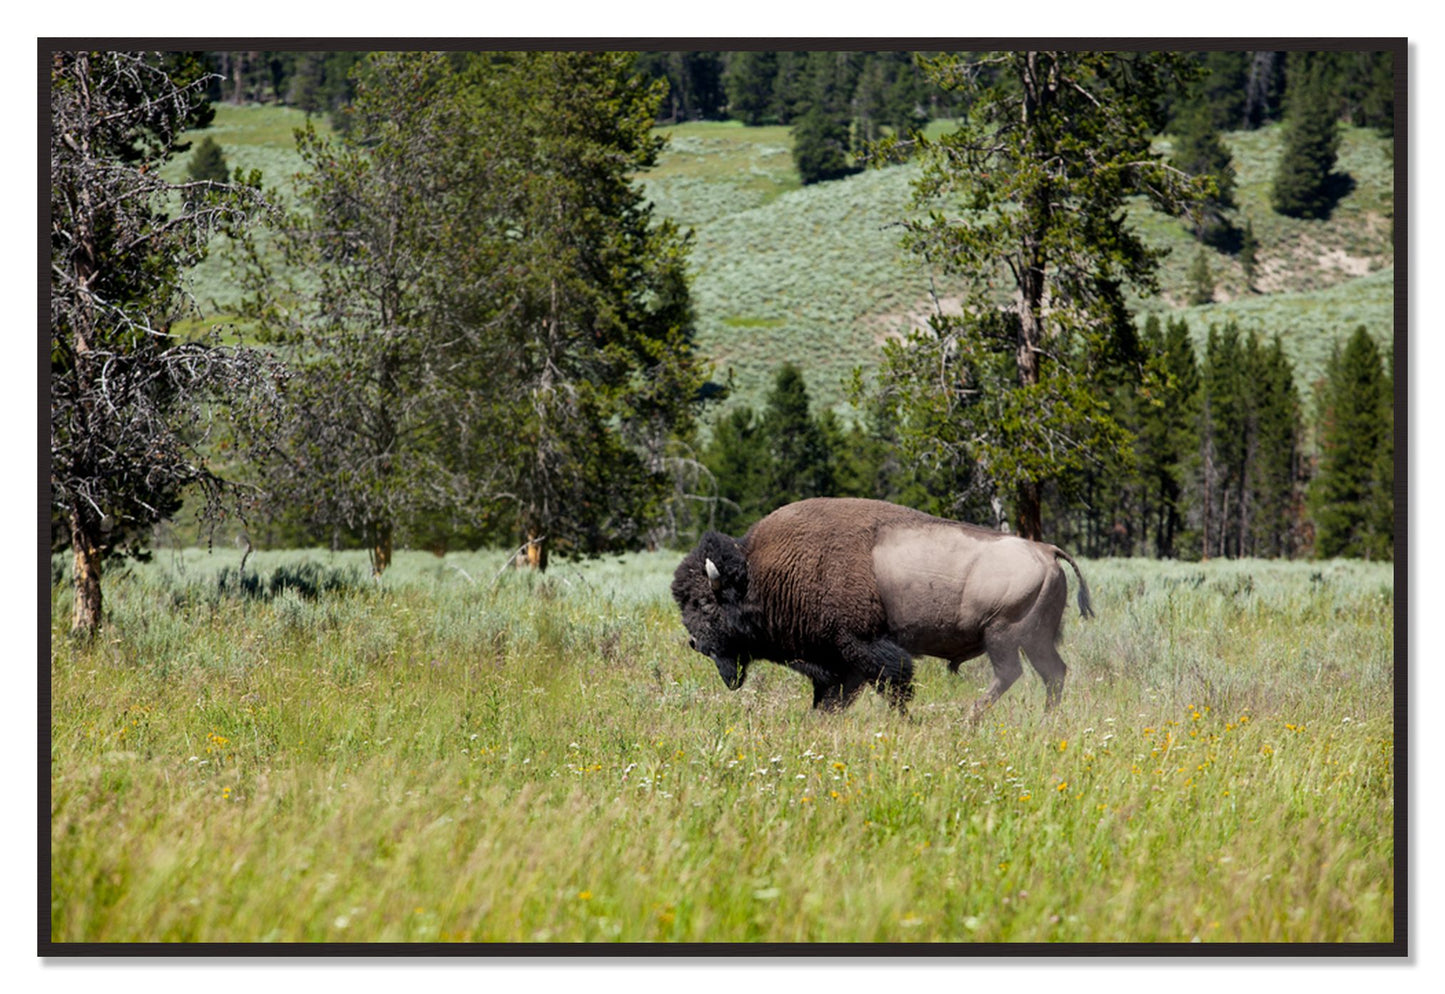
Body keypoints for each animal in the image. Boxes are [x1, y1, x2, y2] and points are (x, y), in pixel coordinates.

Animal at [671, 497, 1093, 718]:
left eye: (705, 604)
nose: (695, 643)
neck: (760, 573)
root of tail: (1046, 550)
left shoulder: (862, 647)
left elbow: (893, 684)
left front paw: (904, 720)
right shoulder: (837, 663)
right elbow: (832, 698)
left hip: (1002, 635)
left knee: (1011, 674)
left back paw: (969, 718)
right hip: (1035, 639)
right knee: (1053, 673)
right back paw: (1045, 719)